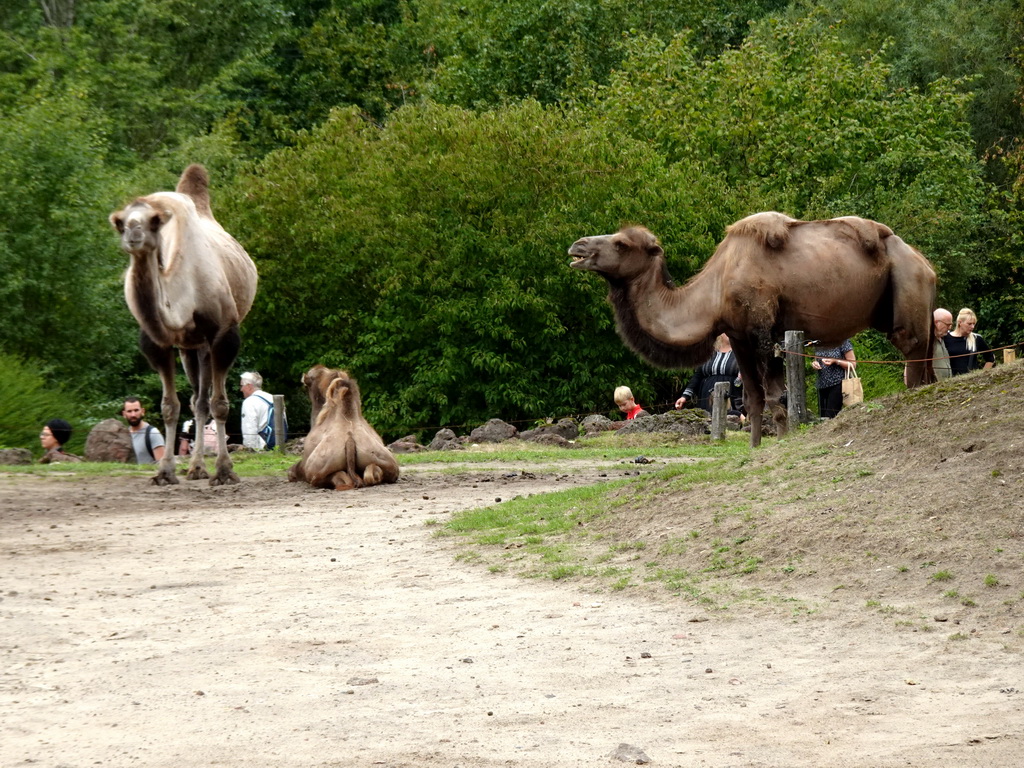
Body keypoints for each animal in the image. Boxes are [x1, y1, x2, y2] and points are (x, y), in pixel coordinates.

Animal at [109, 164, 256, 483]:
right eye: (121, 223)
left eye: (153, 221)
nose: (133, 234)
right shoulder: (157, 342)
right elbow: (169, 406)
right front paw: (164, 472)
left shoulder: (225, 333)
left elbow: (220, 404)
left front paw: (225, 471)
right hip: (191, 347)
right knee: (195, 401)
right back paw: (196, 468)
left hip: (204, 344)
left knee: (204, 402)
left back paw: (202, 467)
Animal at [569, 214, 937, 448]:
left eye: (621, 244)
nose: (577, 247)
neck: (715, 291)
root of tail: (924, 262)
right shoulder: (737, 337)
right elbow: (752, 398)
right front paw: (754, 446)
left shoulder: (764, 330)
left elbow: (776, 395)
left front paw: (783, 440)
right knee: (928, 362)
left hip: (907, 284)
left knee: (911, 353)